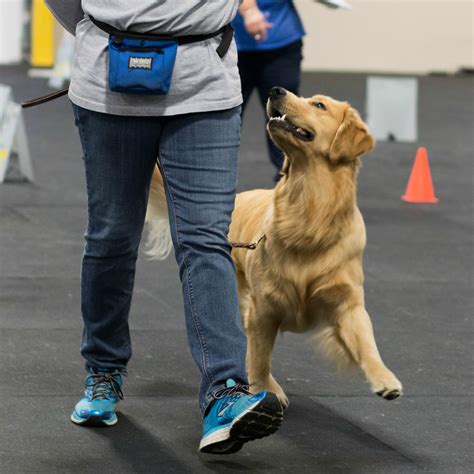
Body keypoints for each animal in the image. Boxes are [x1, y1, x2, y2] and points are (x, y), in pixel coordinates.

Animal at [143, 88, 400, 408]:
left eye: (319, 105)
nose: (276, 90)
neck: (310, 214)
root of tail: (237, 198)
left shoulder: (346, 301)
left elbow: (367, 342)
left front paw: (386, 379)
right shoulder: (263, 308)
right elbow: (260, 357)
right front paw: (264, 390)